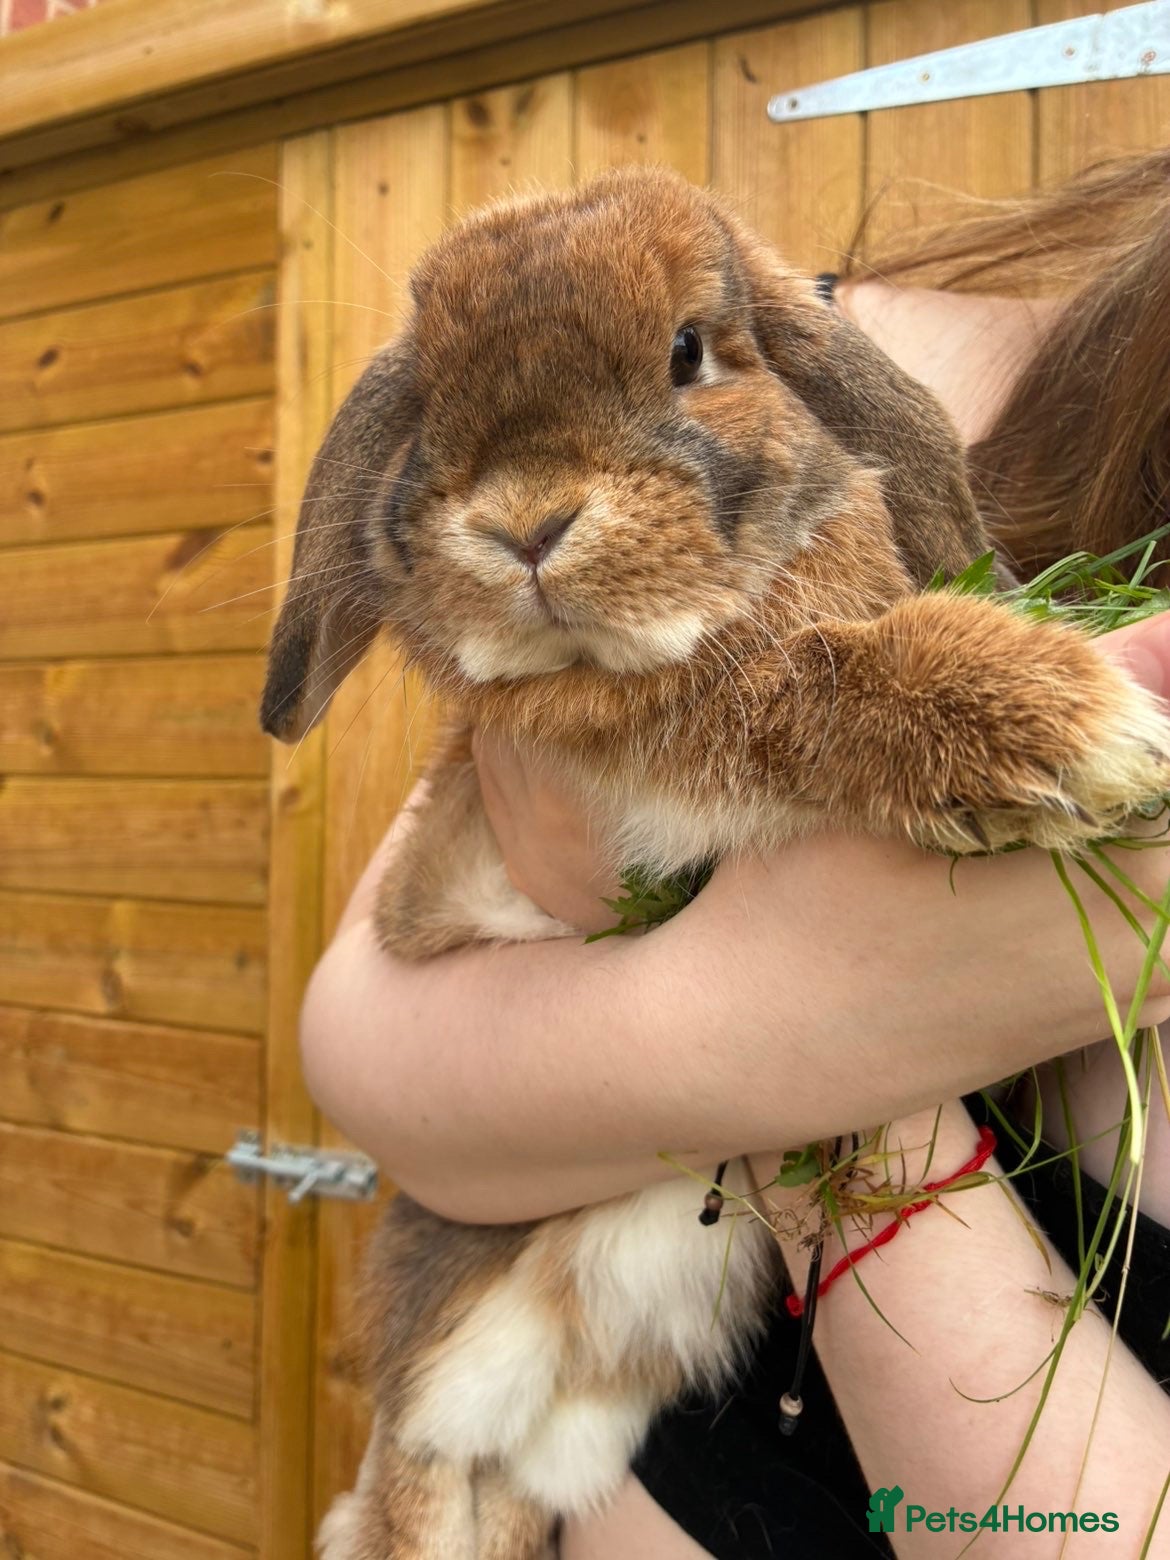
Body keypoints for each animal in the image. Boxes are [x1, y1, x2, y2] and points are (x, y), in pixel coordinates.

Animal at [260, 167, 1170, 1560]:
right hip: (454, 1354)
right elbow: (817, 683)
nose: (525, 527)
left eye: (690, 352)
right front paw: (1083, 732)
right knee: (415, 1486)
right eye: (430, 403)